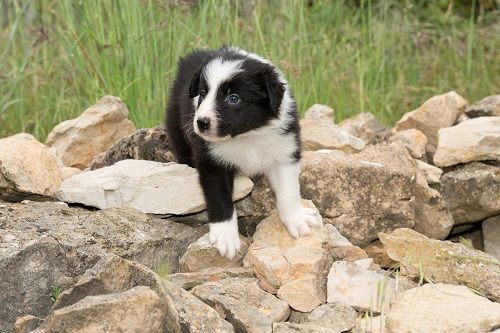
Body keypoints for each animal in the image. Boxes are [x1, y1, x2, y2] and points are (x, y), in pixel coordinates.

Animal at [166, 46, 318, 260]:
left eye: (234, 98)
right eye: (203, 93)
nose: (201, 122)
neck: (245, 136)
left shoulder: (284, 149)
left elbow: (288, 191)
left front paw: (296, 219)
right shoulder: (211, 162)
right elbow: (219, 197)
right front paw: (225, 237)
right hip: (176, 126)